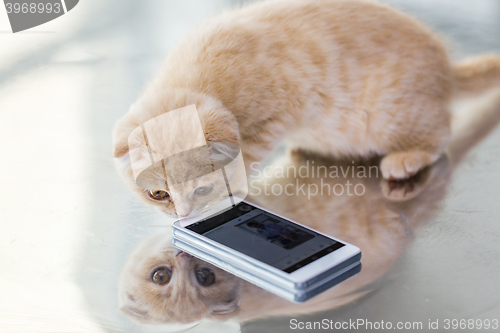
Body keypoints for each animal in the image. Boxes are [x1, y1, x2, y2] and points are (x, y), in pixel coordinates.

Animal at [112, 0, 500, 217]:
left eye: (202, 191)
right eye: (158, 194)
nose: (183, 214)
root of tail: (446, 69)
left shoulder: (278, 115)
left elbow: (247, 154)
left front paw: (234, 185)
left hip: (392, 117)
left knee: (441, 133)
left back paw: (406, 159)